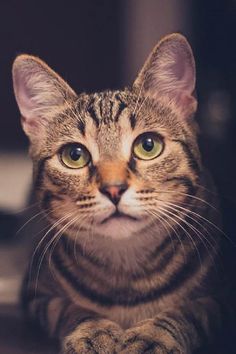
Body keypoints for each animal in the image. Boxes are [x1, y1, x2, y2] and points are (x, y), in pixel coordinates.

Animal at [12, 34, 230, 354]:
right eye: (74, 155)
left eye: (148, 145)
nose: (113, 188)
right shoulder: (36, 294)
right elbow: (69, 309)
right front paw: (94, 331)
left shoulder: (219, 300)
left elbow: (189, 311)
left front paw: (153, 335)